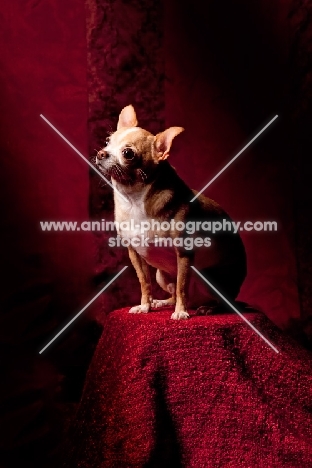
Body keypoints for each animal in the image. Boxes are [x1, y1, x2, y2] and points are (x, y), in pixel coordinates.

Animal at [96, 105, 247, 318]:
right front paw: (145, 306)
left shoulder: (184, 254)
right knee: (174, 293)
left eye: (128, 153)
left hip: (207, 278)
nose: (102, 153)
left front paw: (181, 313)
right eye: (107, 142)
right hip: (162, 276)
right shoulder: (134, 253)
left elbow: (182, 286)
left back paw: (208, 308)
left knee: (224, 302)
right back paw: (161, 302)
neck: (134, 200)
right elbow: (145, 283)